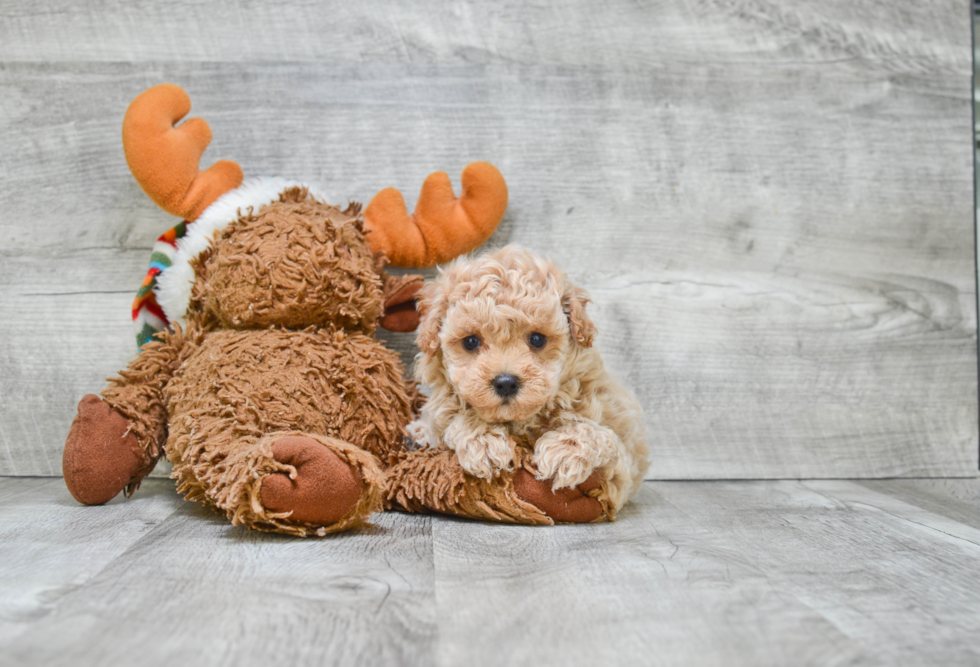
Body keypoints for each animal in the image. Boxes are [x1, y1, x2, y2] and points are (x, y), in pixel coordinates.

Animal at [406, 245, 652, 512]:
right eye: (470, 341)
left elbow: (599, 435)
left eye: (537, 339)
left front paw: (564, 451)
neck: (521, 421)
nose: (505, 383)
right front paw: (484, 443)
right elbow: (455, 418)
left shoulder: (619, 475)